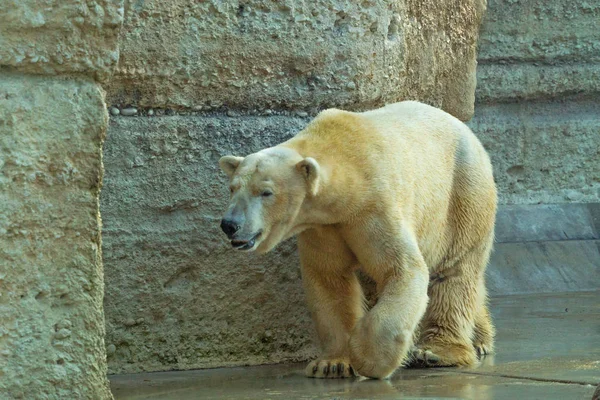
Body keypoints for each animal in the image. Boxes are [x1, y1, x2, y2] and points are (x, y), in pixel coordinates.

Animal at [218, 100, 494, 378]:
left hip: (462, 194)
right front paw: (333, 364)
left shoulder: (373, 207)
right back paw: (480, 338)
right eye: (232, 188)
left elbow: (402, 268)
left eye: (266, 192)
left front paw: (369, 357)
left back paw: (438, 352)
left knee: (456, 270)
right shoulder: (323, 227)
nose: (229, 225)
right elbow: (329, 280)